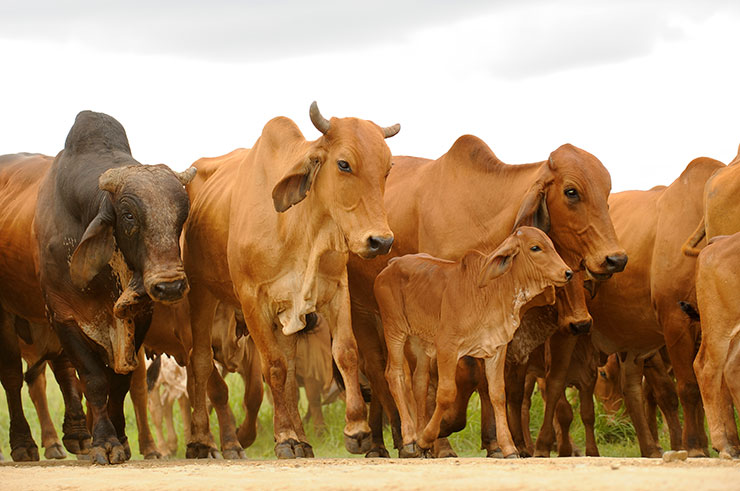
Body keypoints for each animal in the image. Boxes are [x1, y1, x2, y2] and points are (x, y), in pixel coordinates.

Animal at [0, 152, 91, 461]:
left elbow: (67, 369)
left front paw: (78, 433)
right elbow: (11, 375)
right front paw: (22, 443)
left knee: (39, 381)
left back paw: (53, 442)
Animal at [33, 111, 196, 464]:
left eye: (183, 214)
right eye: (128, 214)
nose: (170, 286)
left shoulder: (140, 318)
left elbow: (119, 383)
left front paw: (119, 439)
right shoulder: (63, 317)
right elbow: (94, 380)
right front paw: (103, 442)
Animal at [182, 102, 400, 459]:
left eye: (387, 168)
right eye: (343, 163)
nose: (380, 241)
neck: (299, 228)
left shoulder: (334, 292)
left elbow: (344, 353)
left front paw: (356, 429)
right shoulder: (252, 300)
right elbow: (274, 367)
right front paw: (284, 437)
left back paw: (303, 440)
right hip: (201, 293)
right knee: (199, 362)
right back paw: (202, 442)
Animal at [375, 226, 572, 457]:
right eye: (535, 247)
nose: (568, 273)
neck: (492, 291)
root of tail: (392, 263)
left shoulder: (496, 349)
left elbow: (498, 395)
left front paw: (509, 448)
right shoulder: (447, 348)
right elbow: (446, 393)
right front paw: (425, 438)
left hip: (420, 341)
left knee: (420, 383)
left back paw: (420, 439)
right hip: (394, 330)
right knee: (395, 375)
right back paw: (410, 438)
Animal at [587, 156, 725, 457]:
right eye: (602, 374)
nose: (612, 424)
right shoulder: (673, 323)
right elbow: (682, 389)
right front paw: (694, 446)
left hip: (631, 340)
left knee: (631, 388)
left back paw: (650, 447)